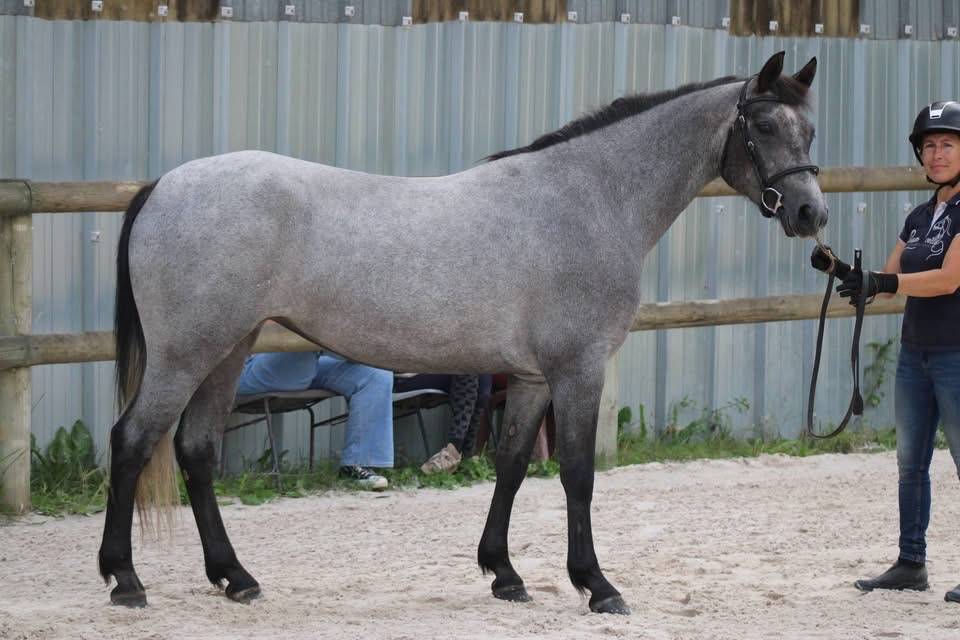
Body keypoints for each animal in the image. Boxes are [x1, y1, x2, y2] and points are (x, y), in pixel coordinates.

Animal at [99, 51, 826, 614]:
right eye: (764, 124)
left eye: (811, 131)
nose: (810, 214)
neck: (588, 199)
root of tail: (164, 186)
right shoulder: (578, 369)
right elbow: (578, 474)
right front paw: (596, 585)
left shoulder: (532, 376)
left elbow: (511, 465)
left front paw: (504, 573)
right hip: (185, 354)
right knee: (132, 441)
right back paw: (125, 580)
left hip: (227, 350)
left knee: (195, 450)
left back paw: (235, 578)